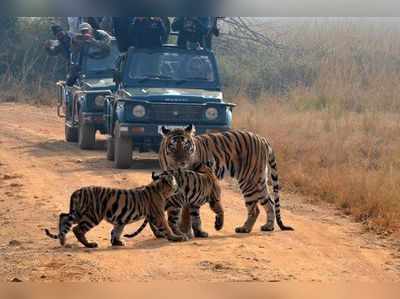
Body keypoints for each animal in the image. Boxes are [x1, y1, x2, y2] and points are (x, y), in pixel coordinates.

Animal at [43, 173, 188, 248]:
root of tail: (77, 191)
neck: (161, 189)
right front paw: (176, 237)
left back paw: (62, 240)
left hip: (78, 213)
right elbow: (166, 227)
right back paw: (89, 244)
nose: (179, 187)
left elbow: (117, 230)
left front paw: (117, 242)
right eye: (176, 183)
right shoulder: (158, 215)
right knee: (77, 229)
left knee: (63, 216)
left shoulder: (121, 219)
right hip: (92, 216)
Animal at [159, 125, 294, 236]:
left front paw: (185, 230)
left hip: (249, 181)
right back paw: (268, 226)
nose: (182, 162)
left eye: (186, 146)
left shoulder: (191, 184)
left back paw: (244, 229)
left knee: (255, 209)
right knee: (269, 202)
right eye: (172, 146)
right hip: (259, 181)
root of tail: (261, 138)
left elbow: (186, 210)